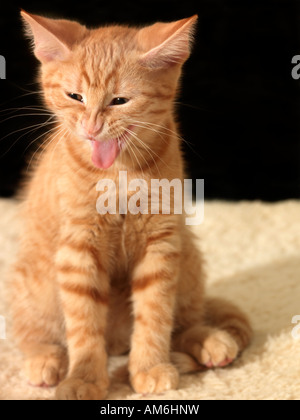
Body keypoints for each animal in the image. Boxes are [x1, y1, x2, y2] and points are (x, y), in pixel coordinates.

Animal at [9, 10, 252, 400]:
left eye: (119, 101)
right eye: (75, 96)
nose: (92, 127)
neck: (119, 173)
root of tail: (117, 343)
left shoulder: (161, 243)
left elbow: (155, 312)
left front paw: (149, 367)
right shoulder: (78, 249)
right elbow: (83, 324)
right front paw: (84, 379)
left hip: (188, 257)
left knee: (188, 318)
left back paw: (208, 339)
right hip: (36, 280)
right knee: (31, 330)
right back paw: (44, 358)